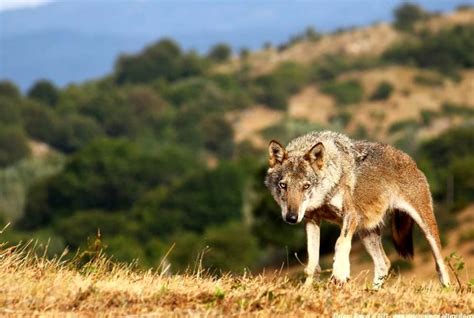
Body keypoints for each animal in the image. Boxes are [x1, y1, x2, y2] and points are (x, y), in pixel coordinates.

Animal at [264, 131, 450, 288]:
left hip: (425, 227)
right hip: (366, 232)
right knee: (384, 263)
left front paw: (340, 273)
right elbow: (312, 264)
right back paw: (373, 293)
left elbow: (340, 242)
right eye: (283, 185)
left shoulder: (351, 215)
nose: (291, 217)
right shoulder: (312, 220)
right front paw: (306, 290)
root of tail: (410, 160)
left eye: (306, 186)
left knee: (441, 264)